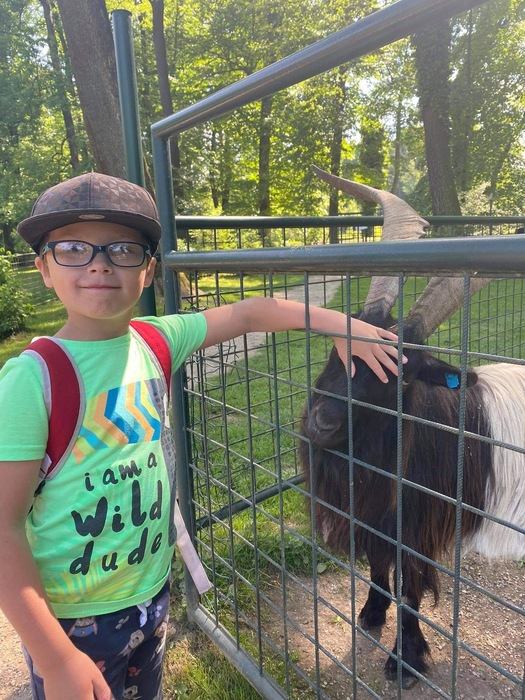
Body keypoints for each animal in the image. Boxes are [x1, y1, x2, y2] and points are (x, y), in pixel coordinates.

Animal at [299, 166, 525, 688]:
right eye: (343, 340)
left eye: (401, 374)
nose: (321, 422)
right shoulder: (376, 517)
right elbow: (379, 564)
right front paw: (370, 613)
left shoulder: (418, 524)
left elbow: (411, 587)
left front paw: (405, 661)